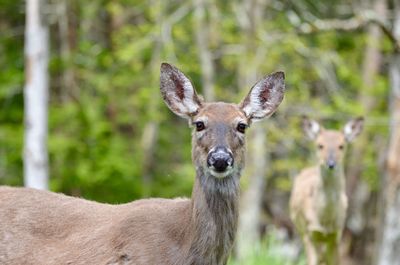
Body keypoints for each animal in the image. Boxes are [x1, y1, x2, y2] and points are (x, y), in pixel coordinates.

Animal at [290, 115, 364, 264]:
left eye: (341, 146)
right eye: (320, 145)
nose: (331, 164)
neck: (324, 219)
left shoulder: (336, 235)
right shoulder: (310, 233)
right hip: (301, 229)